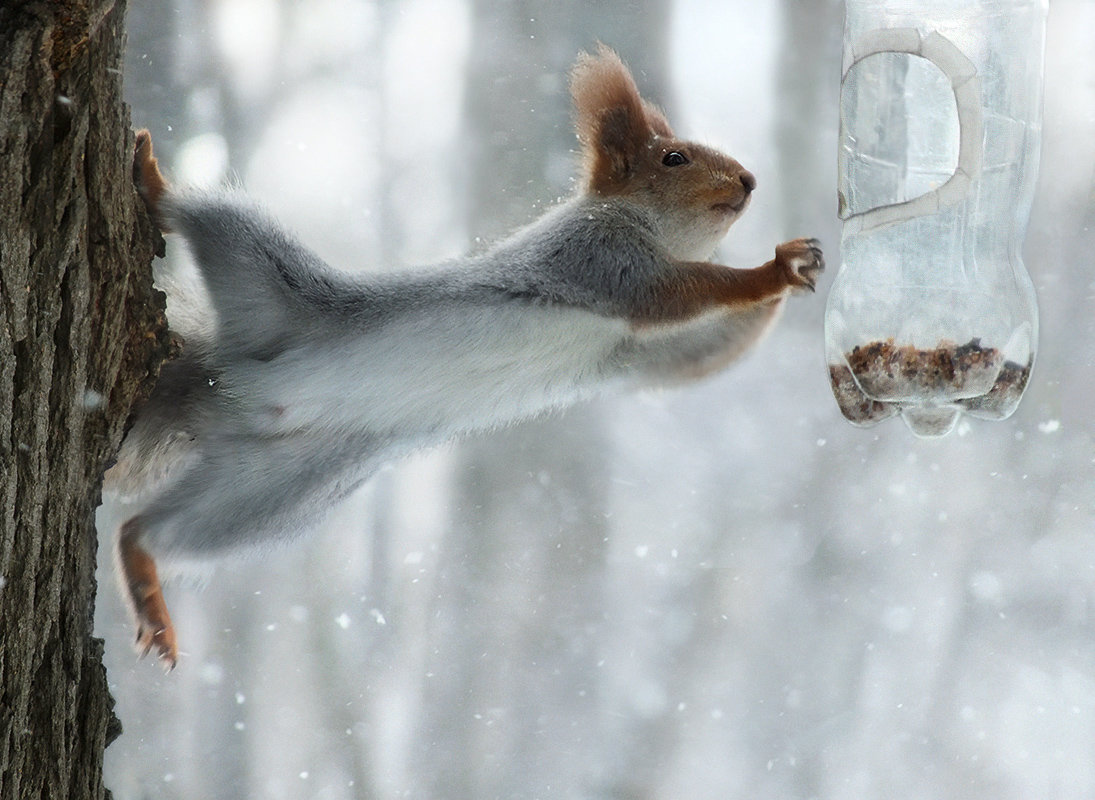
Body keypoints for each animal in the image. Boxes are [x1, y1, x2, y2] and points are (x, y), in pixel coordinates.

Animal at [108, 45, 823, 669]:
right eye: (674, 158)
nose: (749, 180)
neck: (651, 229)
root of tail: (219, 385)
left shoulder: (635, 353)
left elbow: (695, 352)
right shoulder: (601, 260)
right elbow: (674, 294)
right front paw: (775, 270)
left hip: (273, 493)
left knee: (154, 531)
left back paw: (147, 583)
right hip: (264, 272)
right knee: (196, 213)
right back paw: (152, 179)